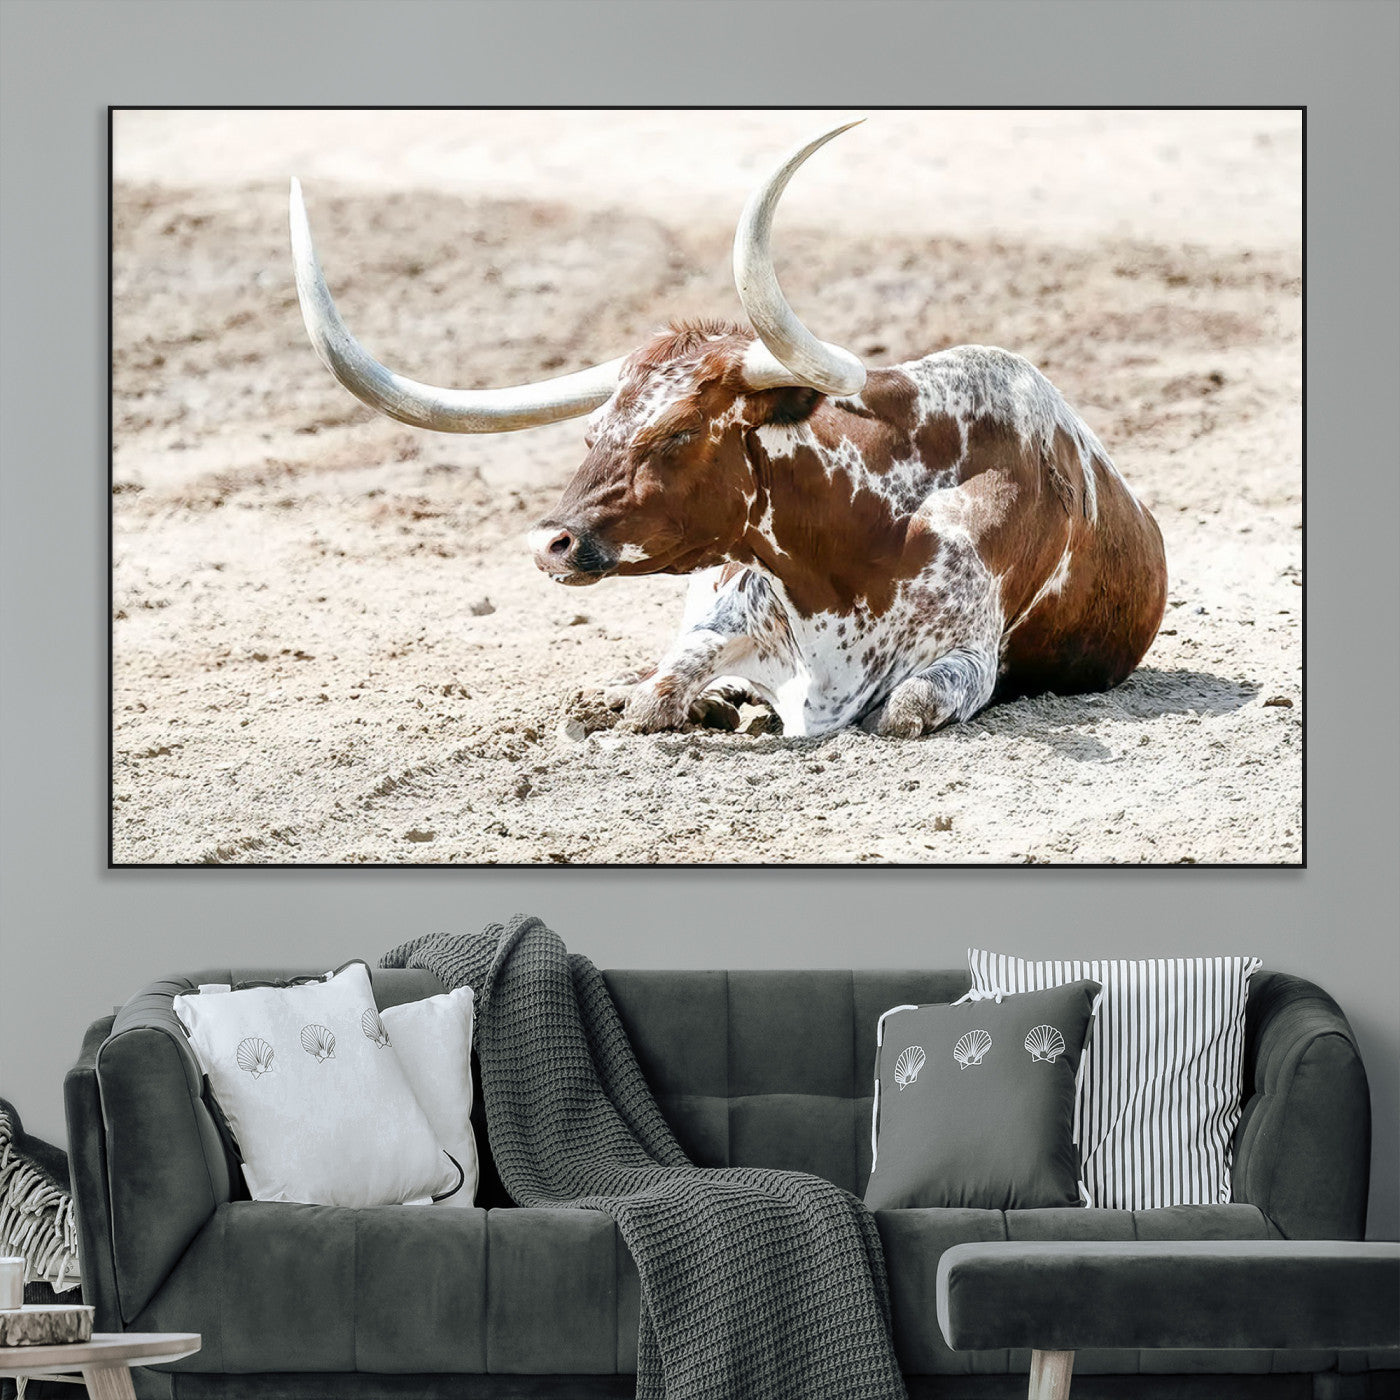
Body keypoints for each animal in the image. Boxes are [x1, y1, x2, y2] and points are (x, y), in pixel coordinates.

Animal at [290, 123, 1166, 739]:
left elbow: (905, 708)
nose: (549, 543)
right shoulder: (723, 617)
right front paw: (679, 702)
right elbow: (655, 696)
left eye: (678, 432)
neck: (859, 544)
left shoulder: (966, 662)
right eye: (593, 432)